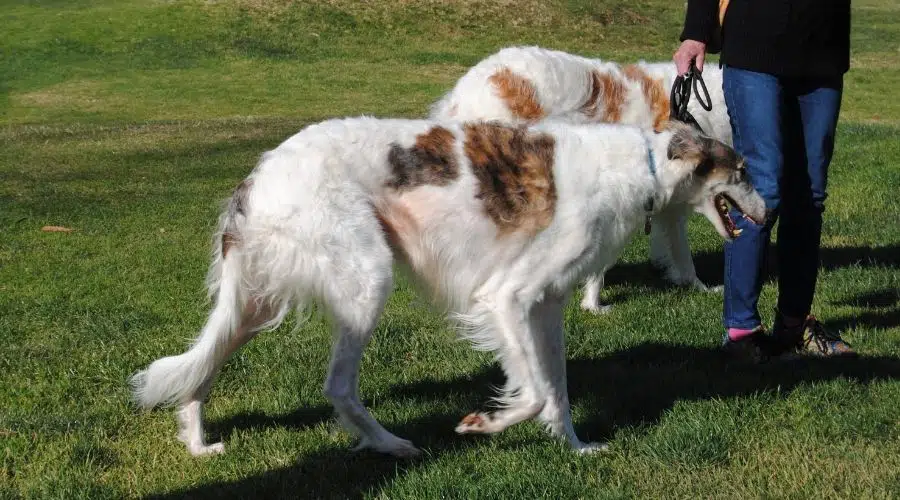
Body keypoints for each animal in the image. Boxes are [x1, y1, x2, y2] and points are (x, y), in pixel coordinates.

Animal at [132, 116, 768, 458]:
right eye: (741, 171)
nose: (772, 212)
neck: (645, 165)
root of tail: (258, 174)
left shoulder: (546, 305)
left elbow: (556, 390)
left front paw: (576, 448)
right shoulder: (507, 296)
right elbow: (535, 393)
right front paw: (483, 424)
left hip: (258, 301)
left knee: (201, 367)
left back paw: (197, 441)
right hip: (366, 280)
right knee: (337, 386)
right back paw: (390, 443)